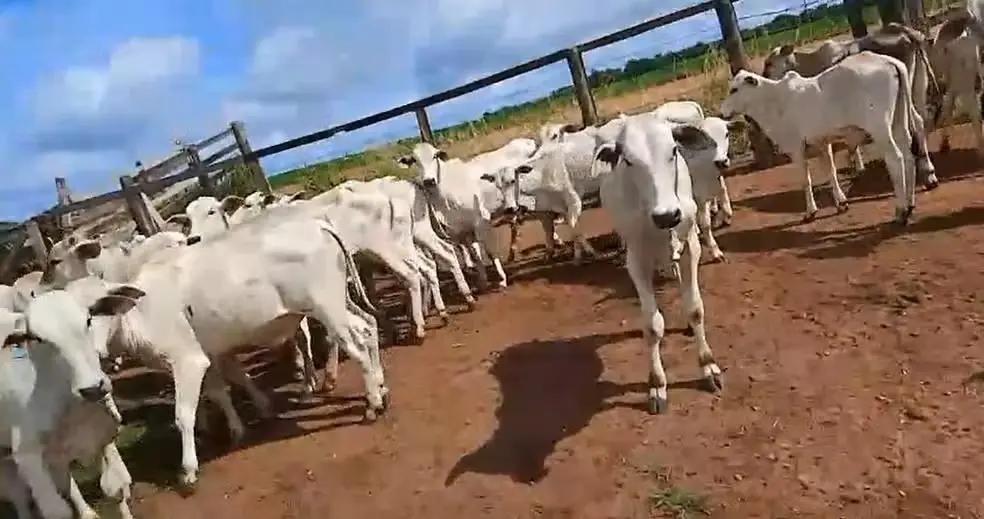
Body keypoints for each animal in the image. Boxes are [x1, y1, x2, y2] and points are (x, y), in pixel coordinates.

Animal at [0, 288, 138, 519]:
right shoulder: (27, 457)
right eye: (36, 338)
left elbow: (116, 487)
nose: (93, 388)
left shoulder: (104, 437)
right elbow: (56, 511)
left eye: (89, 320)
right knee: (19, 498)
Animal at [398, 142, 512, 290]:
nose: (429, 181)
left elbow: (490, 251)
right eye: (415, 160)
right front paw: (482, 281)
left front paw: (502, 279)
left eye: (435, 156)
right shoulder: (462, 230)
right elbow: (475, 254)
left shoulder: (481, 221)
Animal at [592, 115, 724, 414]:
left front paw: (708, 365)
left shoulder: (690, 246)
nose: (667, 216)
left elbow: (695, 309)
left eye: (673, 151)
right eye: (627, 161)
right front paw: (657, 384)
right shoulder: (637, 260)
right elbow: (653, 326)